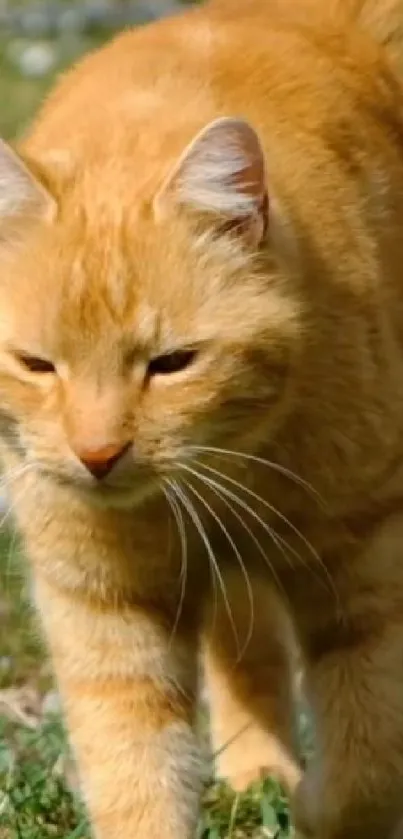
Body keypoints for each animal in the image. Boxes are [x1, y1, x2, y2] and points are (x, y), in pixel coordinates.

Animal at [3, 0, 403, 836]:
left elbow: (367, 756)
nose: (97, 454)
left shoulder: (369, 566)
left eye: (171, 363)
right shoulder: (102, 607)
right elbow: (135, 771)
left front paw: (316, 804)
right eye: (38, 365)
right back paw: (256, 772)